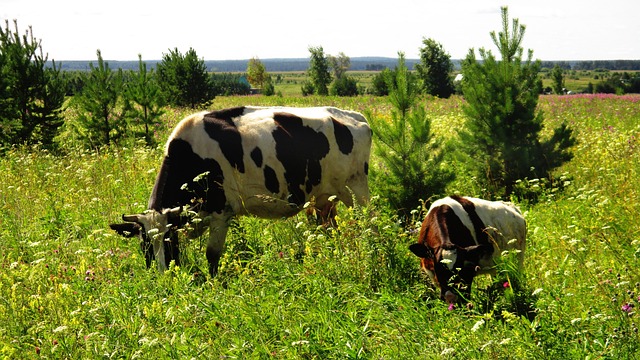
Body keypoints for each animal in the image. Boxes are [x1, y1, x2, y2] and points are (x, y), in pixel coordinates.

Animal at [109, 105, 370, 278]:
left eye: (169, 238)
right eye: (143, 244)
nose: (163, 274)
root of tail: (355, 117)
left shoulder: (221, 212)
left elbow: (212, 254)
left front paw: (214, 284)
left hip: (356, 190)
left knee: (371, 224)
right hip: (325, 198)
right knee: (329, 230)